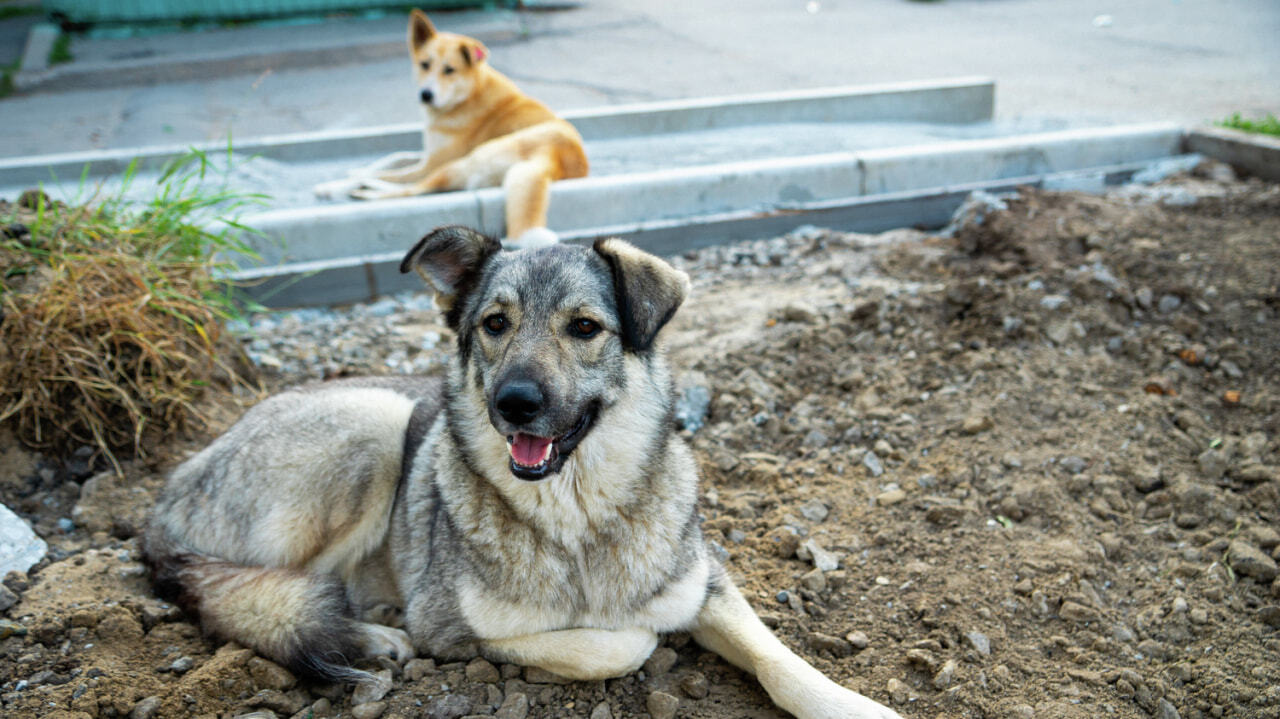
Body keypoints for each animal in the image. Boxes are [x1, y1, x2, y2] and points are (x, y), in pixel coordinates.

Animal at [142, 225, 901, 716]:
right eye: (495, 323)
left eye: (585, 327)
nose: (514, 403)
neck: (578, 512)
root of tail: (167, 491)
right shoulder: (452, 625)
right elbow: (615, 643)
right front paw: (632, 637)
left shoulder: (704, 581)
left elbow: (779, 657)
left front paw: (847, 703)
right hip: (375, 425)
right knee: (273, 592)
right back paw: (369, 630)